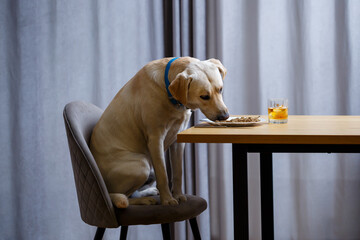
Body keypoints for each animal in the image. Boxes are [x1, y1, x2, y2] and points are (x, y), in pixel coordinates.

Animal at [90, 56, 231, 208]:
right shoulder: (155, 139)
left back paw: (148, 193)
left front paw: (178, 195)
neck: (168, 92)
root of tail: (103, 188)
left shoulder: (178, 141)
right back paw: (144, 200)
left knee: (132, 193)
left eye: (220, 89)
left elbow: (178, 173)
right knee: (122, 197)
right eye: (204, 96)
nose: (225, 116)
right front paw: (167, 199)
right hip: (142, 165)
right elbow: (163, 174)